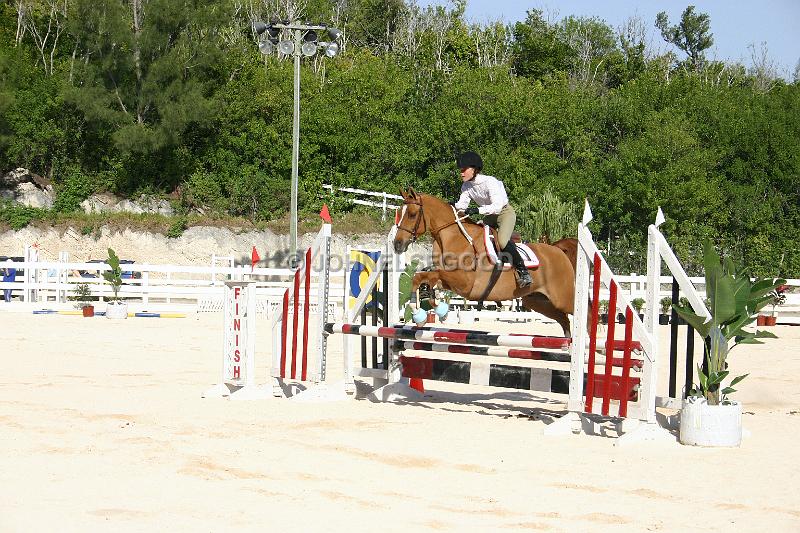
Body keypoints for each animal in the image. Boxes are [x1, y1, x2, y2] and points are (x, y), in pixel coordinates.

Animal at [392, 189, 576, 334]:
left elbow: (428, 277)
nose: (397, 244)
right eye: (399, 213)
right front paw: (425, 315)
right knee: (564, 320)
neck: (454, 238)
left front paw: (429, 313)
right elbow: (422, 279)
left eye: (412, 214)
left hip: (562, 299)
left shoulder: (465, 283)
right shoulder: (449, 280)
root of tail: (559, 251)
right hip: (536, 300)